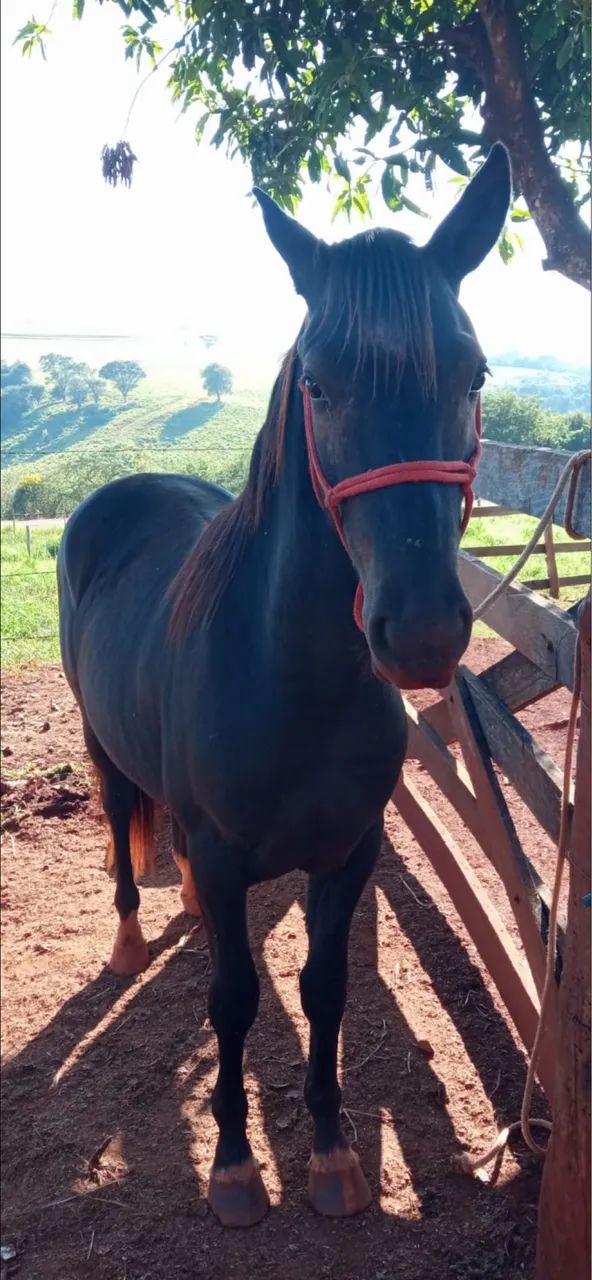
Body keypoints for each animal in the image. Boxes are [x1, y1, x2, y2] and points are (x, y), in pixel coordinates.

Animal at [58, 143, 511, 1228]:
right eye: (318, 381)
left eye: (472, 371)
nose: (421, 632)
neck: (292, 681)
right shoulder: (228, 862)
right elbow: (233, 1000)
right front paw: (232, 1166)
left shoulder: (349, 854)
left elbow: (324, 990)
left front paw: (333, 1154)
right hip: (101, 743)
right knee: (122, 824)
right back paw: (132, 938)